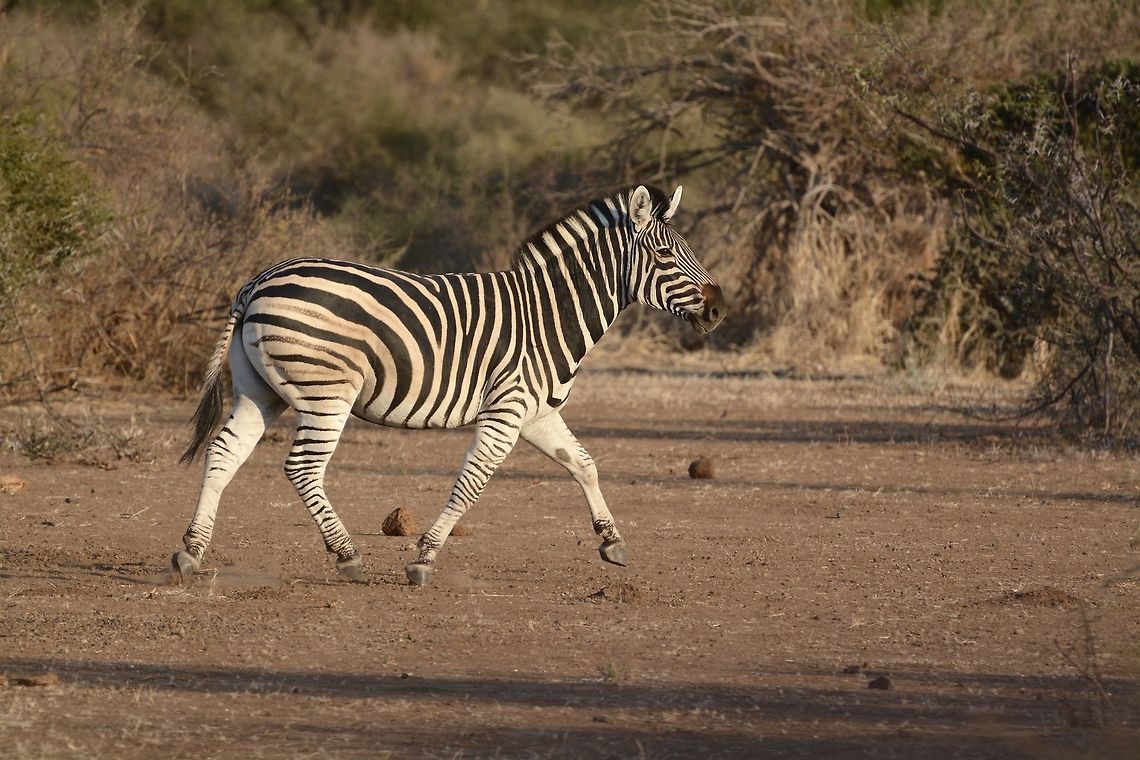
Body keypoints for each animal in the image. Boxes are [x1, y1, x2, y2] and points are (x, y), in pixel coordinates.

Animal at [172, 184, 726, 586]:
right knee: (303, 468)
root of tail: (258, 281)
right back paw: (347, 556)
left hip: (260, 391)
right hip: (328, 394)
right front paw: (424, 558)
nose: (719, 310)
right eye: (665, 255)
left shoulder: (537, 413)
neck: (548, 314)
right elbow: (470, 484)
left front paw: (610, 541)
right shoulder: (506, 411)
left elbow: (583, 464)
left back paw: (191, 552)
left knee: (224, 451)